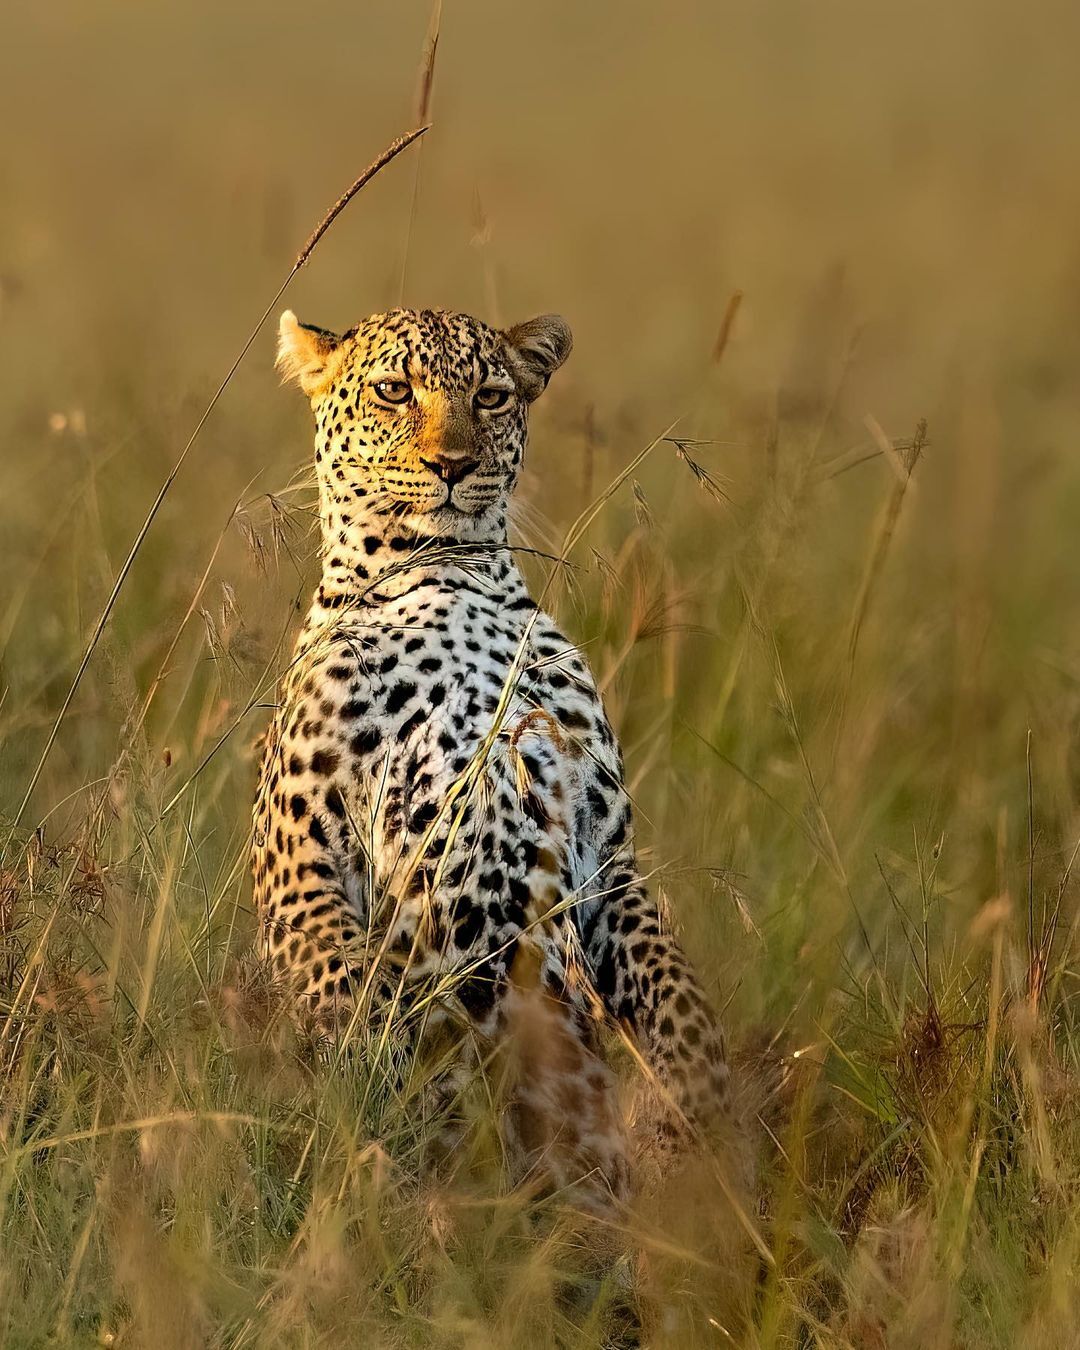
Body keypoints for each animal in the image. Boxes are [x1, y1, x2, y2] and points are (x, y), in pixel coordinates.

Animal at [248, 306, 729, 1215]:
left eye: (492, 396)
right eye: (393, 391)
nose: (452, 464)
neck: (447, 581)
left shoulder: (606, 853)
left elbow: (678, 998)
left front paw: (703, 1113)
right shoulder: (299, 868)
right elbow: (359, 1006)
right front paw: (399, 1118)